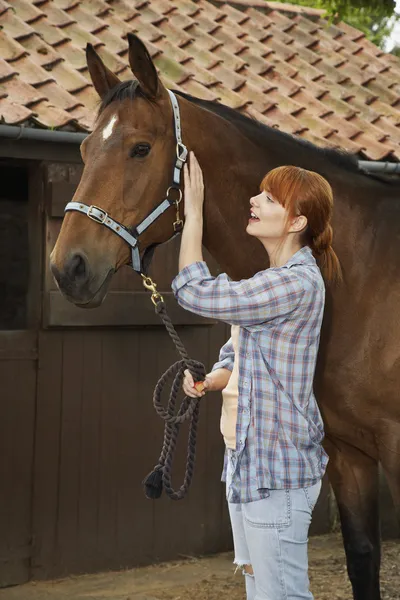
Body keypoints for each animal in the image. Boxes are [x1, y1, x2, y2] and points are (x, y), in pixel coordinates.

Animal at [50, 34, 400, 600]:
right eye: (83, 150)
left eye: (140, 148)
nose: (68, 268)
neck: (363, 273)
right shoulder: (349, 453)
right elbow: (363, 558)